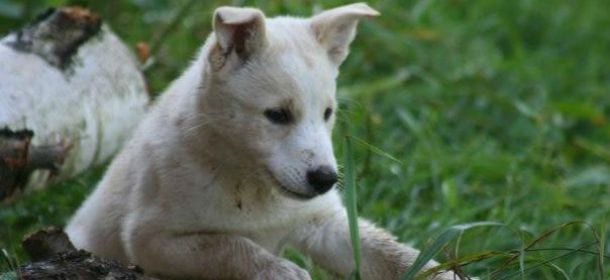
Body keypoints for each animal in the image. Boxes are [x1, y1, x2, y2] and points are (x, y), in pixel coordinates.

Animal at [66, 2, 456, 280]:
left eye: (327, 113)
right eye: (278, 115)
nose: (325, 179)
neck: (249, 184)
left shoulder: (322, 221)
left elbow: (386, 251)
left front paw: (445, 272)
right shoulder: (151, 238)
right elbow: (230, 246)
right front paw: (282, 272)